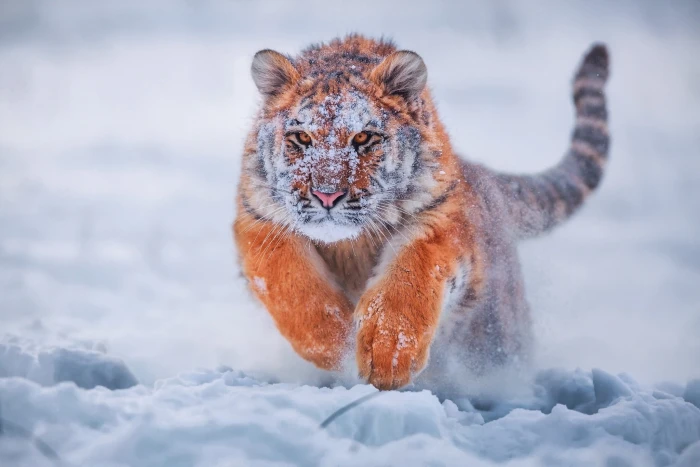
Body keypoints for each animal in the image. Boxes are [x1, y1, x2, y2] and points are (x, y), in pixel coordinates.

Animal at [233, 34, 610, 391]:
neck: (349, 245)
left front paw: (387, 355)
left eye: (363, 138)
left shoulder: (438, 220)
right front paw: (336, 343)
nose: (328, 195)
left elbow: (409, 277)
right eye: (301, 137)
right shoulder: (259, 220)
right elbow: (291, 284)